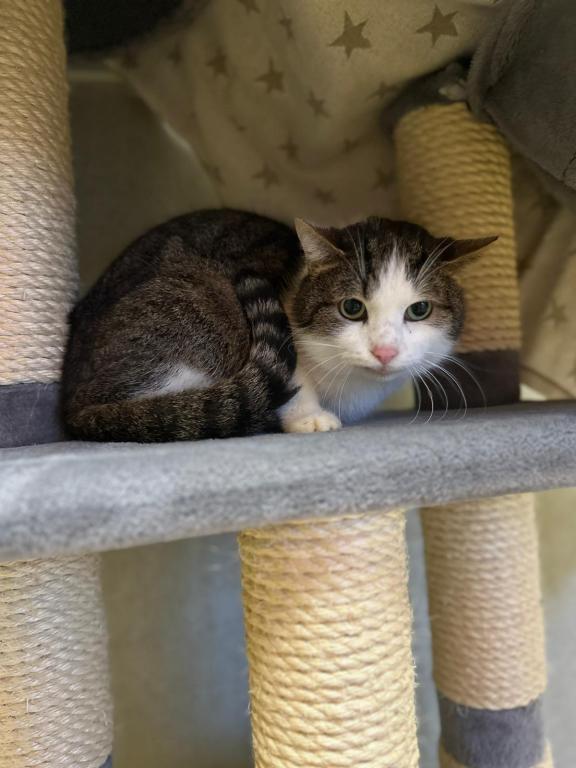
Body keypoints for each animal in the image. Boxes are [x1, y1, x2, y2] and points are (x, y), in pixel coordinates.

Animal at [62, 209, 496, 441]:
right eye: (351, 308)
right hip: (196, 301)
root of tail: (72, 401)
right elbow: (293, 372)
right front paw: (309, 417)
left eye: (419, 310)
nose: (384, 350)